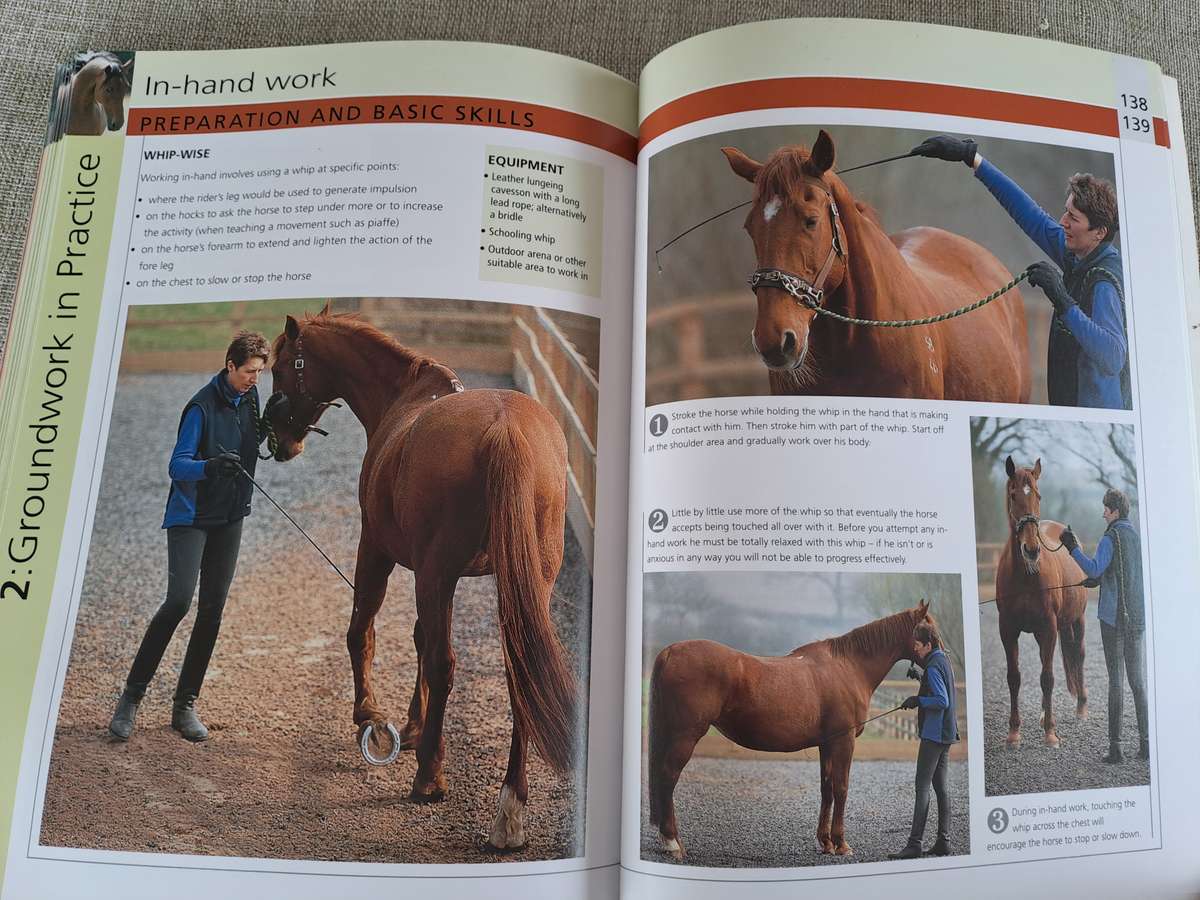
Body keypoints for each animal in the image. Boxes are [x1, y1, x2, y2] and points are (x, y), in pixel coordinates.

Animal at [266, 307, 577, 851]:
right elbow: (417, 638)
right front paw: (413, 726)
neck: (404, 396)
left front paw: (372, 718)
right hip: (523, 582)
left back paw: (430, 779)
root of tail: (506, 428)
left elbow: (363, 633)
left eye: (282, 369)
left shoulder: (380, 552)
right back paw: (509, 809)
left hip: (434, 573)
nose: (280, 440)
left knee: (442, 662)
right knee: (518, 671)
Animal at [648, 600, 936, 860]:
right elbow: (841, 788)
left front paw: (826, 842)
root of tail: (671, 651)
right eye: (928, 632)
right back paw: (673, 843)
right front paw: (842, 844)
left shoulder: (827, 744)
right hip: (685, 736)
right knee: (668, 777)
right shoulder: (844, 741)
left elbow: (827, 789)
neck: (848, 667)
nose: (939, 657)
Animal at [996, 456, 1088, 747]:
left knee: (1078, 654)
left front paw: (1050, 733)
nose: (1032, 549)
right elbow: (1014, 678)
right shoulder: (1008, 630)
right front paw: (1014, 733)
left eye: (1038, 495)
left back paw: (1081, 707)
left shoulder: (1049, 627)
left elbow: (1047, 678)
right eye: (1013, 495)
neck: (1027, 575)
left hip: (1077, 620)